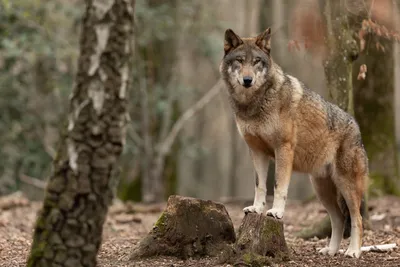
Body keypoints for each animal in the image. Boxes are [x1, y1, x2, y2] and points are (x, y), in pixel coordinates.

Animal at [219, 27, 368, 260]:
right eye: (240, 61)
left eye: (256, 62)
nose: (247, 80)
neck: (254, 104)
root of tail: (357, 127)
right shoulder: (256, 152)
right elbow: (260, 186)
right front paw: (256, 209)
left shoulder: (283, 149)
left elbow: (279, 186)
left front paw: (276, 212)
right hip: (321, 189)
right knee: (338, 219)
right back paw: (331, 251)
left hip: (347, 186)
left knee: (357, 219)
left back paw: (353, 251)